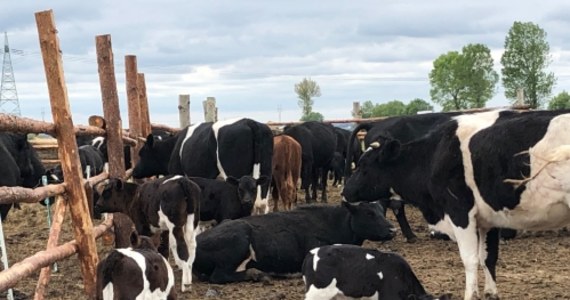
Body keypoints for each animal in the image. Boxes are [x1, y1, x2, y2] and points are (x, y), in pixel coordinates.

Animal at [193, 202, 392, 284]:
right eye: (369, 214)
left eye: (381, 211)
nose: (392, 230)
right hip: (238, 241)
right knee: (219, 276)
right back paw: (259, 274)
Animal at [340, 110, 568, 300]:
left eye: (364, 165)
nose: (344, 191)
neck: (434, 155)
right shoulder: (488, 220)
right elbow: (488, 257)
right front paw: (491, 293)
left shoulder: (460, 212)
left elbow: (470, 259)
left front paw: (471, 295)